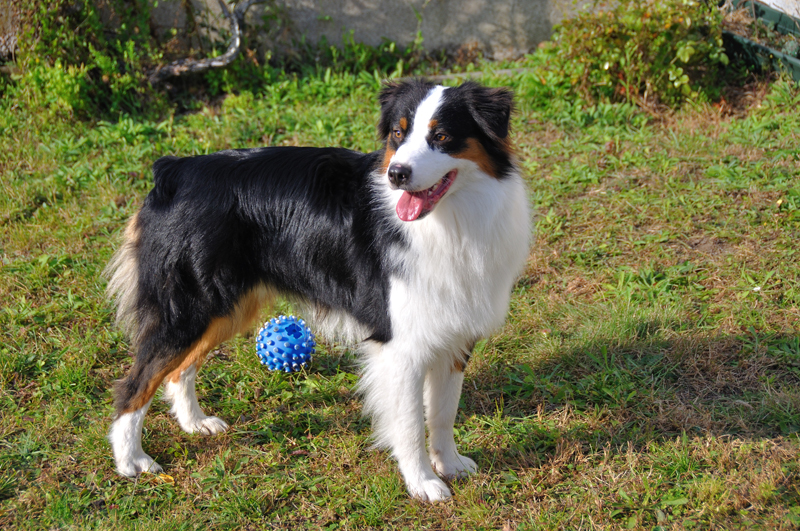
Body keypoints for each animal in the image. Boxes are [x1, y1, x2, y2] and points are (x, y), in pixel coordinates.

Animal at [106, 77, 532, 500]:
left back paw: (194, 423)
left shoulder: (455, 333)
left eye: (441, 136)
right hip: (190, 307)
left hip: (225, 308)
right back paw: (132, 462)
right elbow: (410, 423)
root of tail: (175, 169)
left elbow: (443, 411)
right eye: (398, 133)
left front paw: (450, 464)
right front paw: (423, 482)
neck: (448, 220)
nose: (396, 174)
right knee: (135, 383)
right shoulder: (400, 344)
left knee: (180, 369)